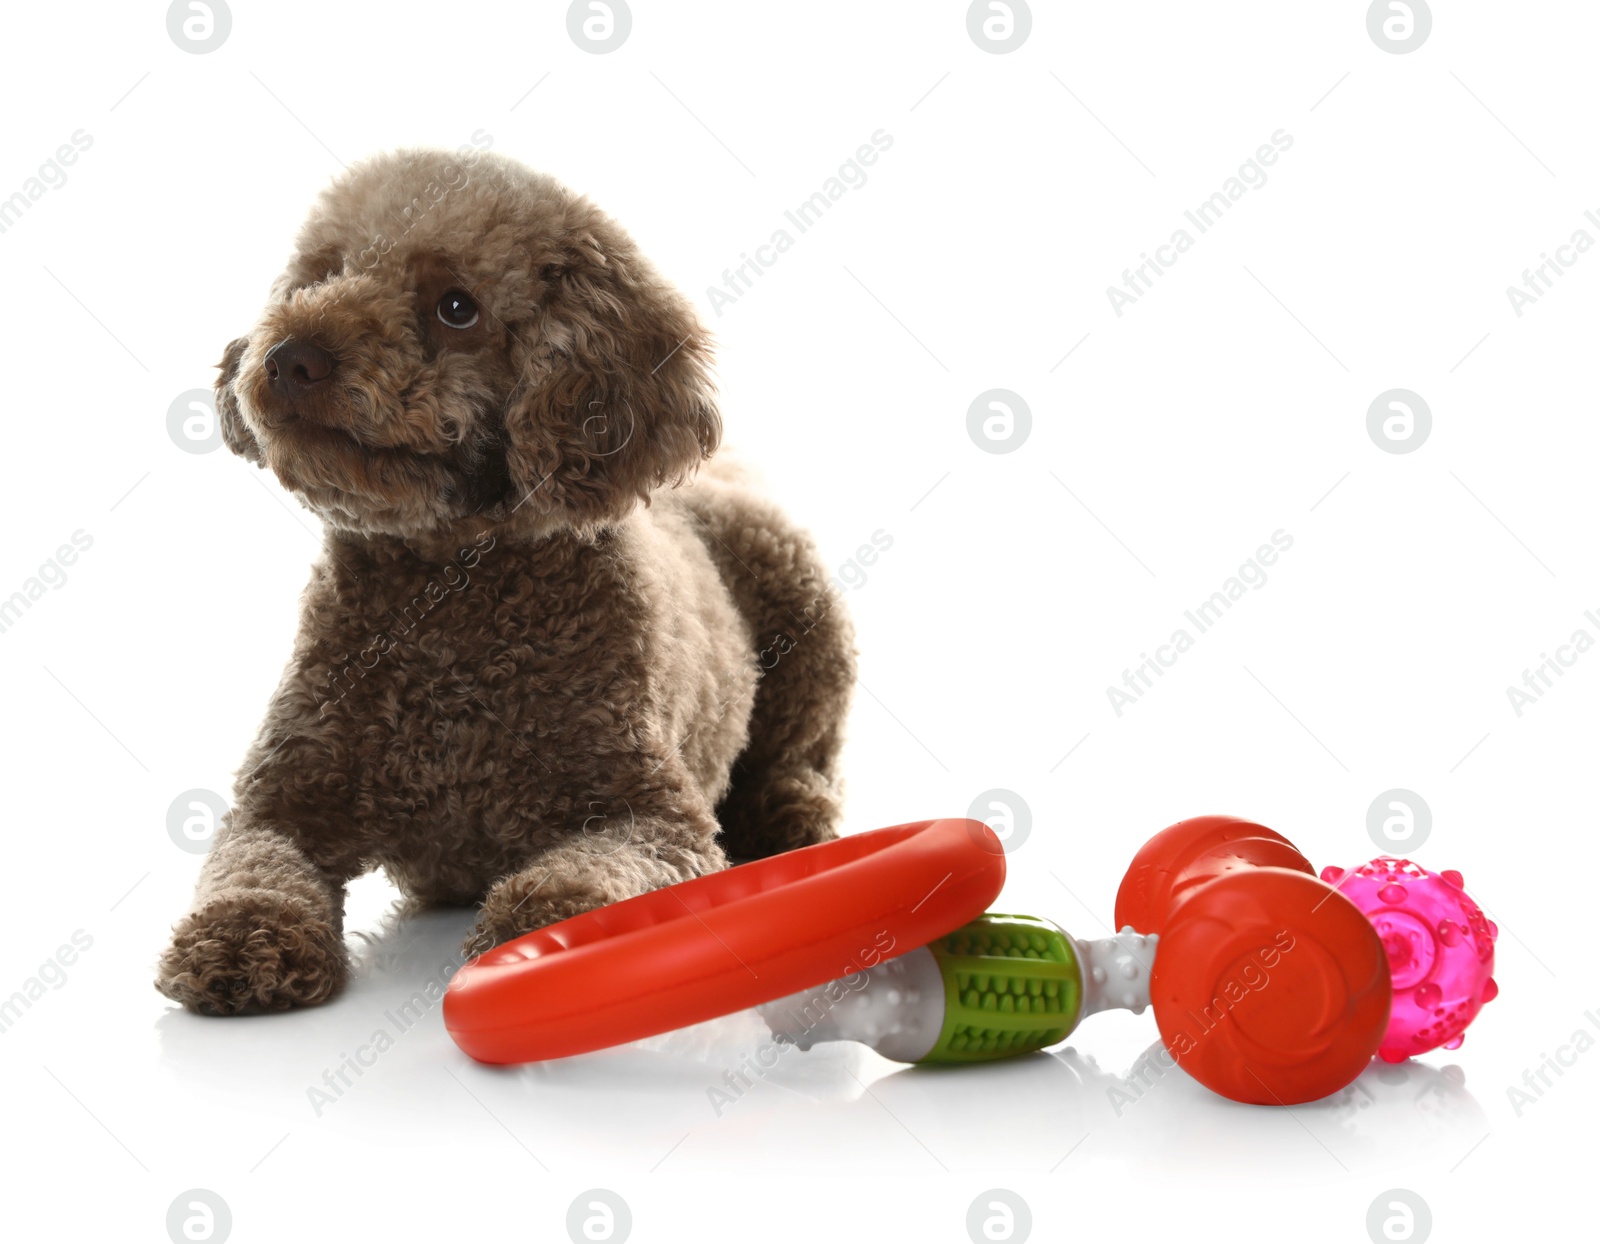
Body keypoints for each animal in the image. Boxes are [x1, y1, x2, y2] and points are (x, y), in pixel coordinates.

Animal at [156, 150, 857, 1010]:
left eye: (457, 307)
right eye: (322, 274)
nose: (290, 355)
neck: (448, 601)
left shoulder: (651, 816)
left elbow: (596, 873)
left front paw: (550, 927)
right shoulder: (277, 801)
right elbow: (254, 870)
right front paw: (242, 939)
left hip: (802, 601)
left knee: (802, 755)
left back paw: (786, 819)